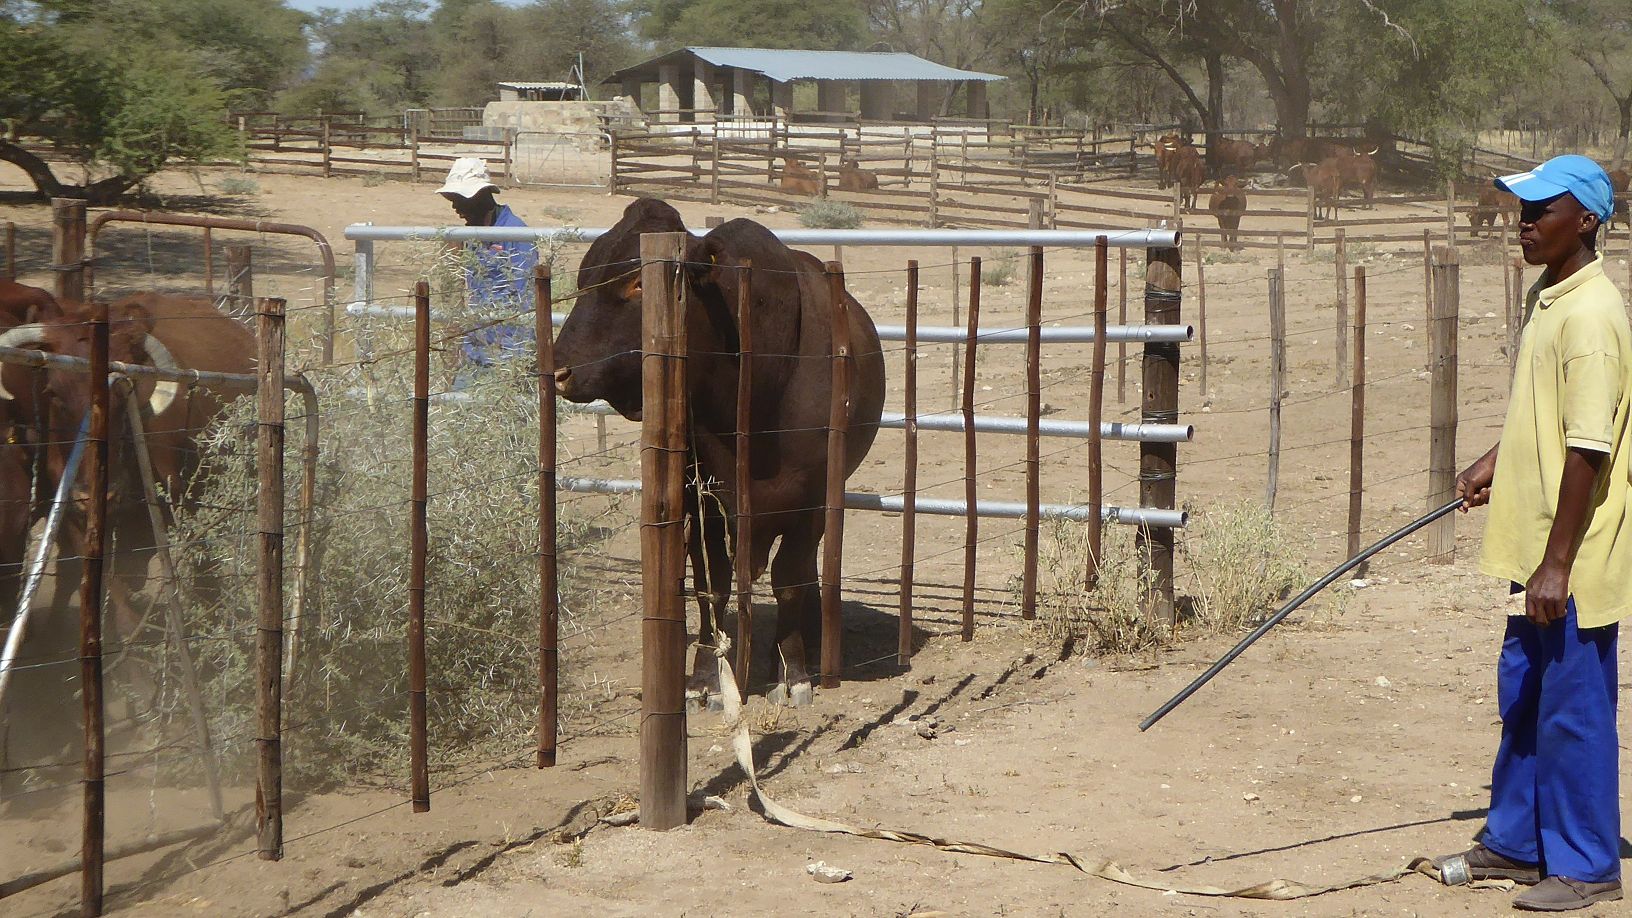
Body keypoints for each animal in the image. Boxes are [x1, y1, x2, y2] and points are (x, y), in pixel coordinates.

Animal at [548, 196, 887, 702]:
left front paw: (793, 673)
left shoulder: (812, 497)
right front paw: (705, 676)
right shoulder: (699, 498)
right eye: (584, 277)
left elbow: (789, 580)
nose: (558, 370)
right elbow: (714, 583)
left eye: (637, 283)